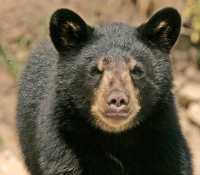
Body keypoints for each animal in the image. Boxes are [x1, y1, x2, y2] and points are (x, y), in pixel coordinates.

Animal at [16, 7, 192, 175]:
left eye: (137, 71)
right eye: (95, 70)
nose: (118, 100)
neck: (115, 138)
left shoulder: (164, 141)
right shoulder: (64, 143)